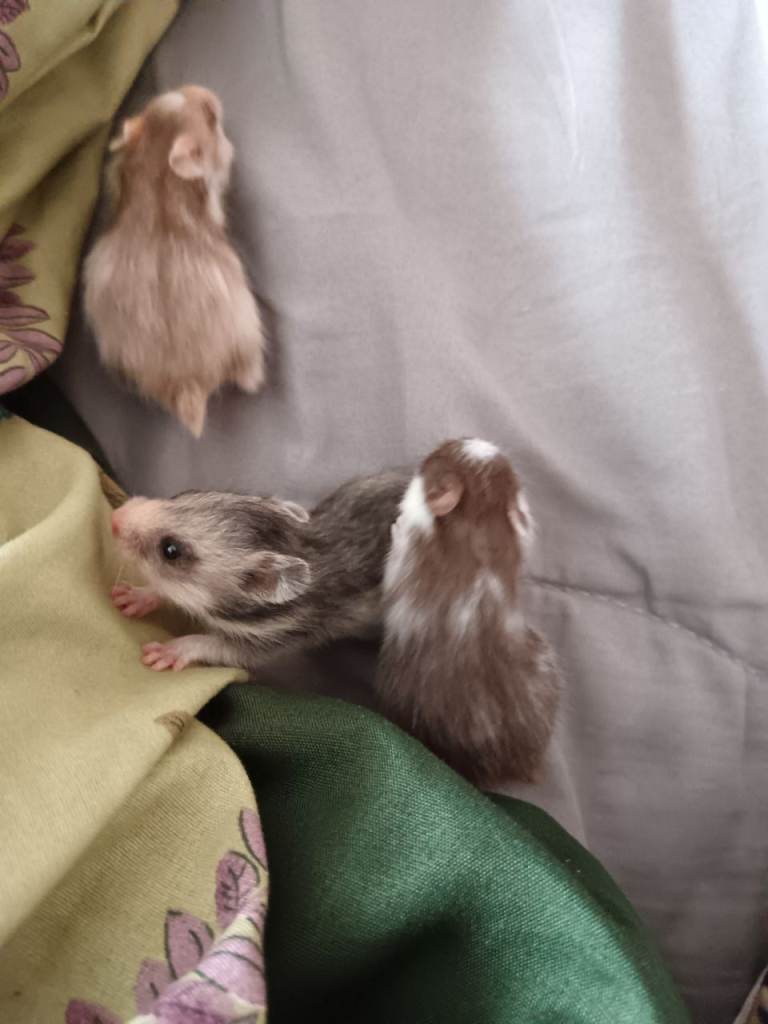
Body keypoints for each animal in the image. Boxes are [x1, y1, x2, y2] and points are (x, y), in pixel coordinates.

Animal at [84, 85, 265, 437]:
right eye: (211, 116)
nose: (204, 90)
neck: (156, 165)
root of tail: (187, 385)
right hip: (248, 331)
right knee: (249, 374)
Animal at [110, 472, 409, 672]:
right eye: (179, 495)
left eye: (171, 550)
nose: (115, 519)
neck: (302, 545)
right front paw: (137, 597)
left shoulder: (278, 637)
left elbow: (221, 648)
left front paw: (169, 650)